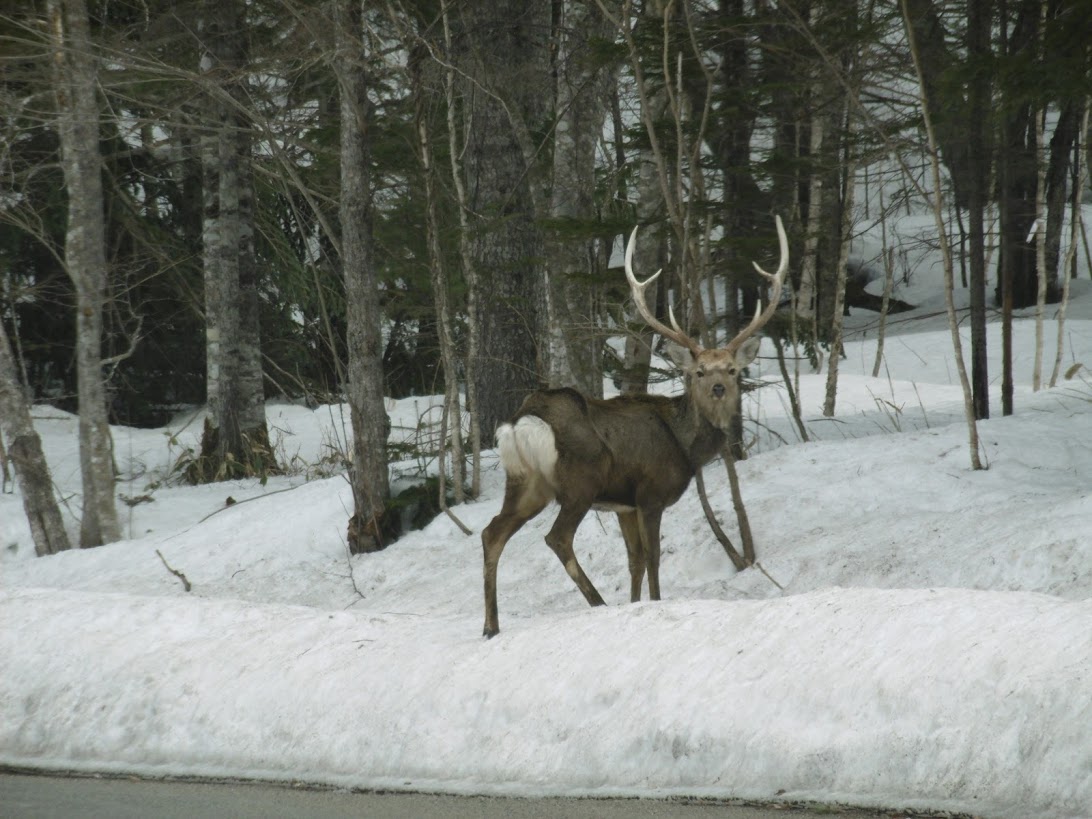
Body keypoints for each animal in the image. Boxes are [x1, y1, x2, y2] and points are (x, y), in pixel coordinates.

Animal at [480, 218, 786, 642]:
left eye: (732, 369)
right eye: (699, 371)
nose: (718, 388)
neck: (685, 446)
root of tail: (524, 419)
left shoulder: (623, 504)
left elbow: (634, 560)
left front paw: (634, 602)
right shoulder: (649, 493)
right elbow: (653, 557)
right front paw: (653, 602)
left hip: (526, 483)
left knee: (491, 533)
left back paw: (491, 626)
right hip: (579, 481)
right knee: (557, 537)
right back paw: (596, 602)